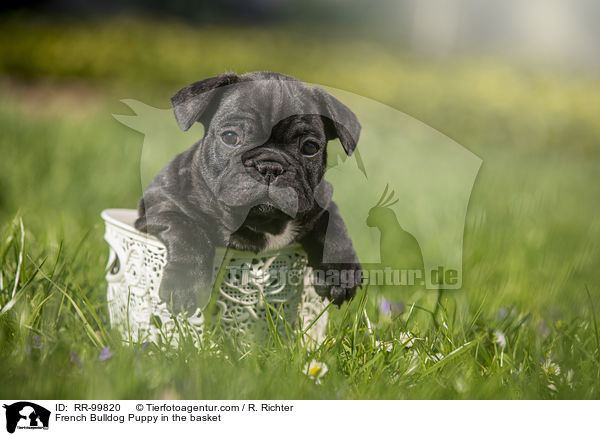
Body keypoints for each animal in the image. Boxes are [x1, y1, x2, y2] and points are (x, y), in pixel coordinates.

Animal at [135, 71, 360, 312]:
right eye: (230, 137)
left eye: (310, 148)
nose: (270, 167)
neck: (265, 222)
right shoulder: (162, 204)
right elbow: (189, 231)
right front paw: (185, 284)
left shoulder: (321, 202)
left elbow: (333, 226)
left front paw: (339, 274)